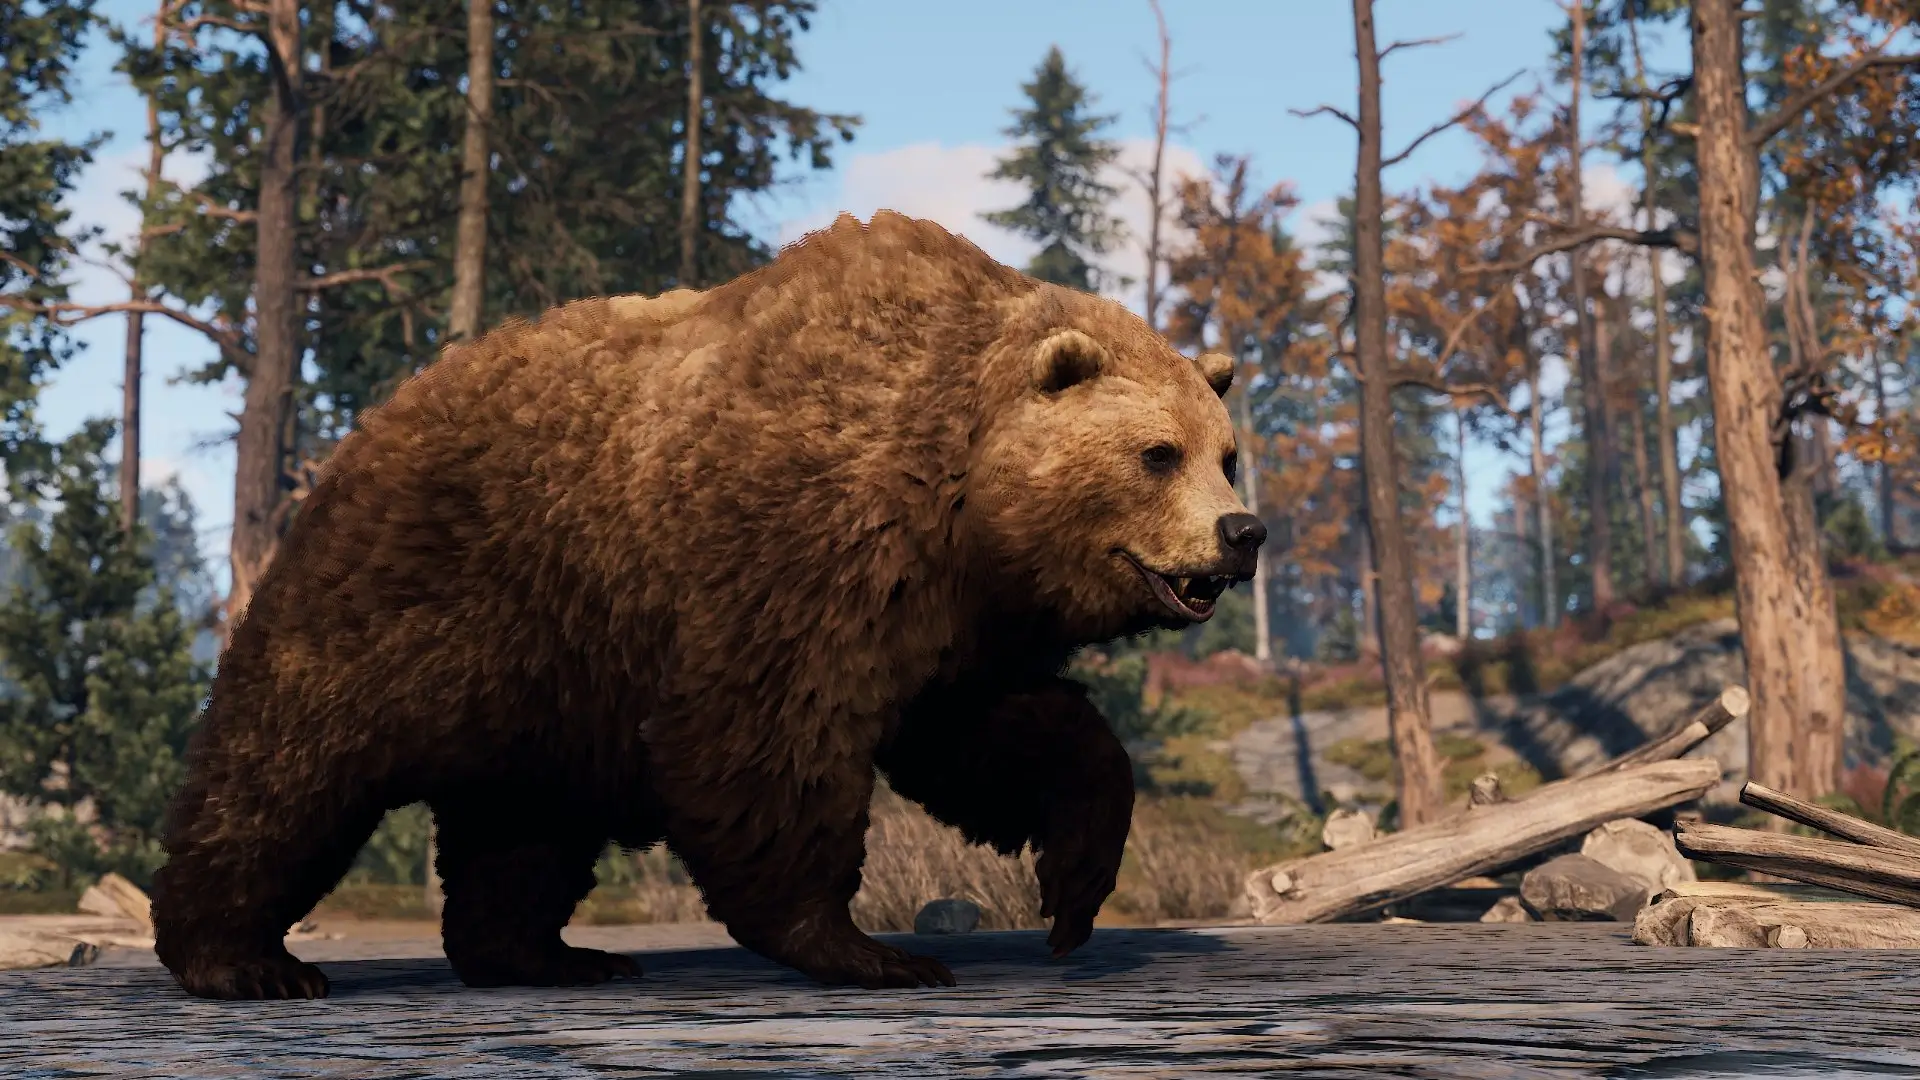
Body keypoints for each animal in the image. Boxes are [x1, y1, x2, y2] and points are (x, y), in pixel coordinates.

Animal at [149, 210, 1267, 1000]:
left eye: (1225, 452)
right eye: (1156, 453)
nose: (1243, 533)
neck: (954, 498)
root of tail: (376, 416)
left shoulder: (946, 619)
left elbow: (1009, 735)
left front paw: (1074, 890)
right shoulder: (799, 546)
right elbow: (766, 741)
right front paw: (869, 950)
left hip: (548, 673)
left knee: (523, 828)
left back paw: (551, 955)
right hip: (419, 594)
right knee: (290, 764)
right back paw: (242, 957)